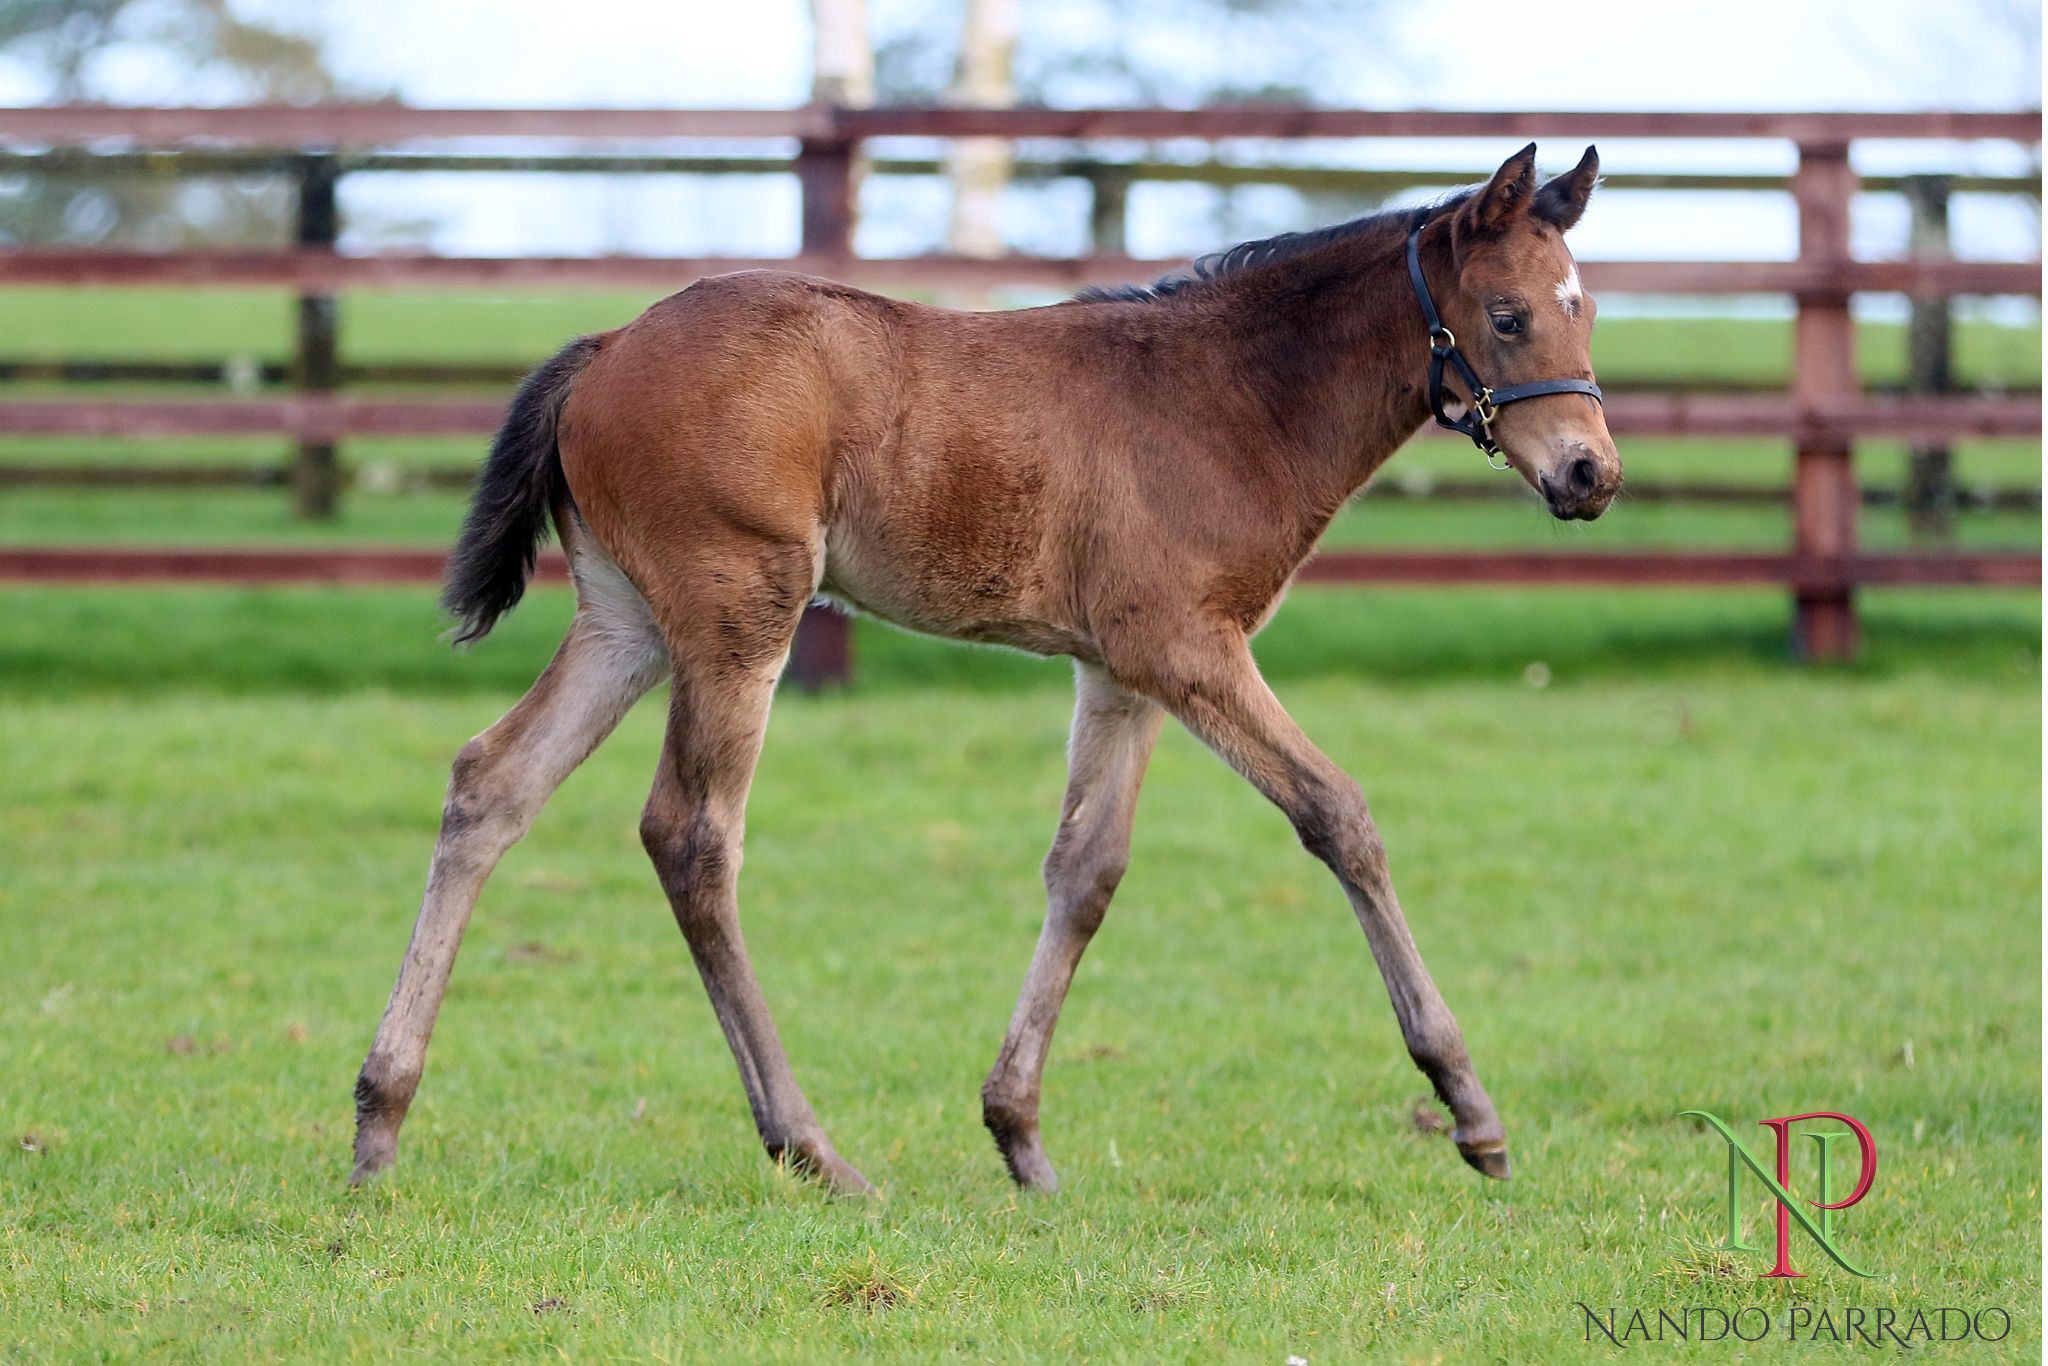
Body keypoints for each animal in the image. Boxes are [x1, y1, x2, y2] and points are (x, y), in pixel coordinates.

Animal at [352, 144, 1613, 1196]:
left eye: (1585, 309)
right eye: (1504, 315)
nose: (1589, 474)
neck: (1224, 395)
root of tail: (606, 348)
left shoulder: (1121, 669)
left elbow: (1086, 869)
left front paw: (1019, 1136)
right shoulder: (1185, 646)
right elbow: (1337, 815)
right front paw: (1470, 1112)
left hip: (626, 621)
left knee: (491, 784)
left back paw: (379, 1119)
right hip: (736, 611)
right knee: (691, 835)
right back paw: (810, 1147)